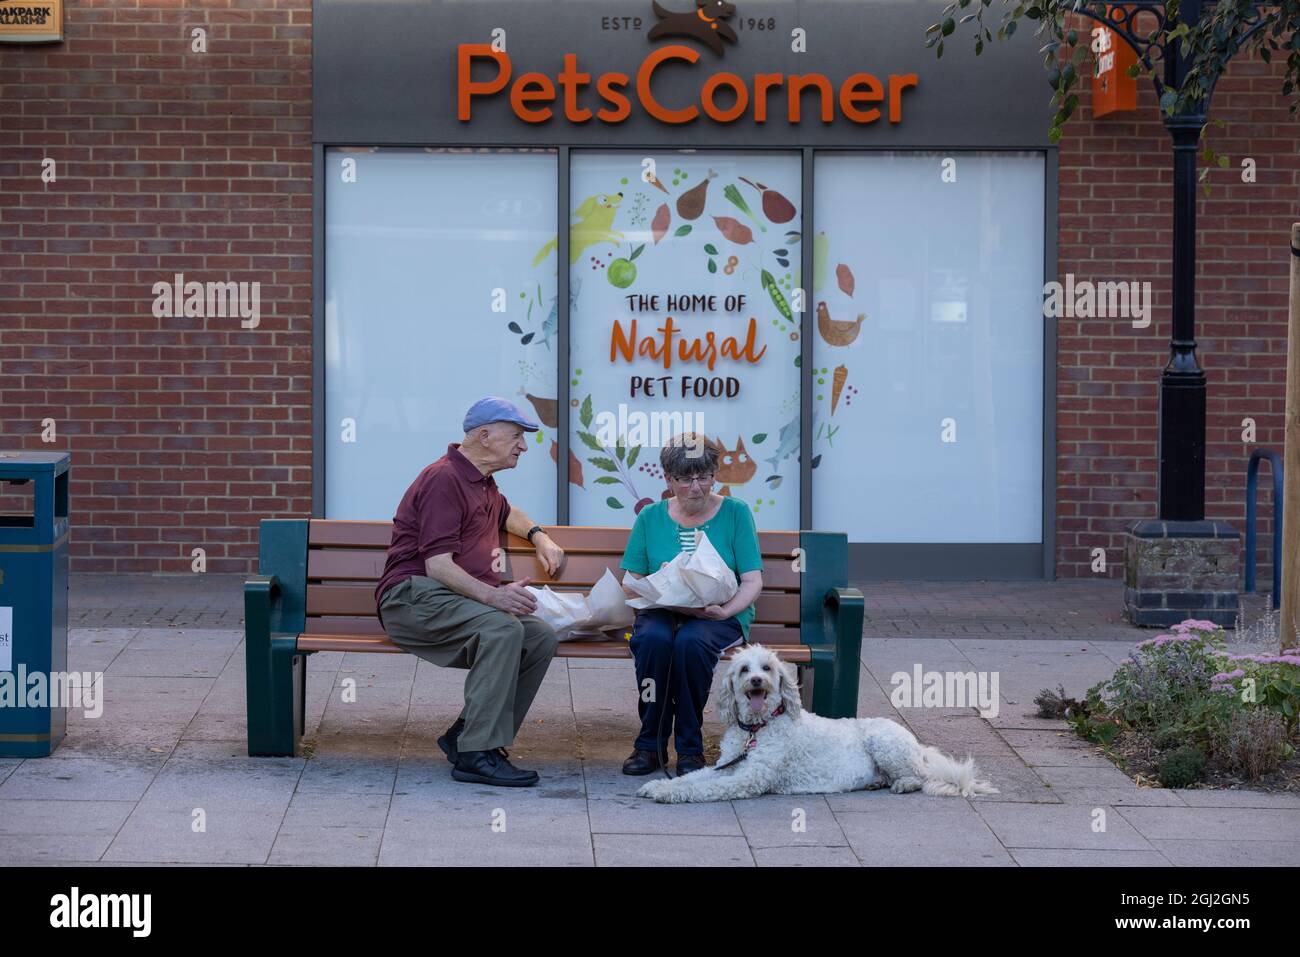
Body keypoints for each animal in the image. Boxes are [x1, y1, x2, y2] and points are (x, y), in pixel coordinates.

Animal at [634, 647, 998, 806]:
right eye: (743, 670)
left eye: (767, 667)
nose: (756, 680)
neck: (757, 728)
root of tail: (918, 746)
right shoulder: (727, 766)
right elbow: (694, 778)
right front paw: (660, 786)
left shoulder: (748, 778)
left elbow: (702, 788)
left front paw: (669, 793)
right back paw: (874, 782)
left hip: (886, 744)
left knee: (919, 777)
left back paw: (902, 784)